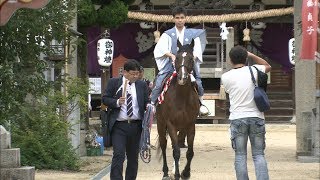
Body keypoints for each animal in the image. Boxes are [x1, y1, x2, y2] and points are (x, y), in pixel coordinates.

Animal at [156, 39, 199, 180]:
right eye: (177, 57)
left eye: (191, 58)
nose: (182, 77)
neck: (181, 98)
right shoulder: (171, 124)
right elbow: (176, 152)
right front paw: (176, 174)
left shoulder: (190, 124)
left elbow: (190, 152)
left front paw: (186, 173)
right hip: (160, 123)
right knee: (163, 145)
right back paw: (165, 172)